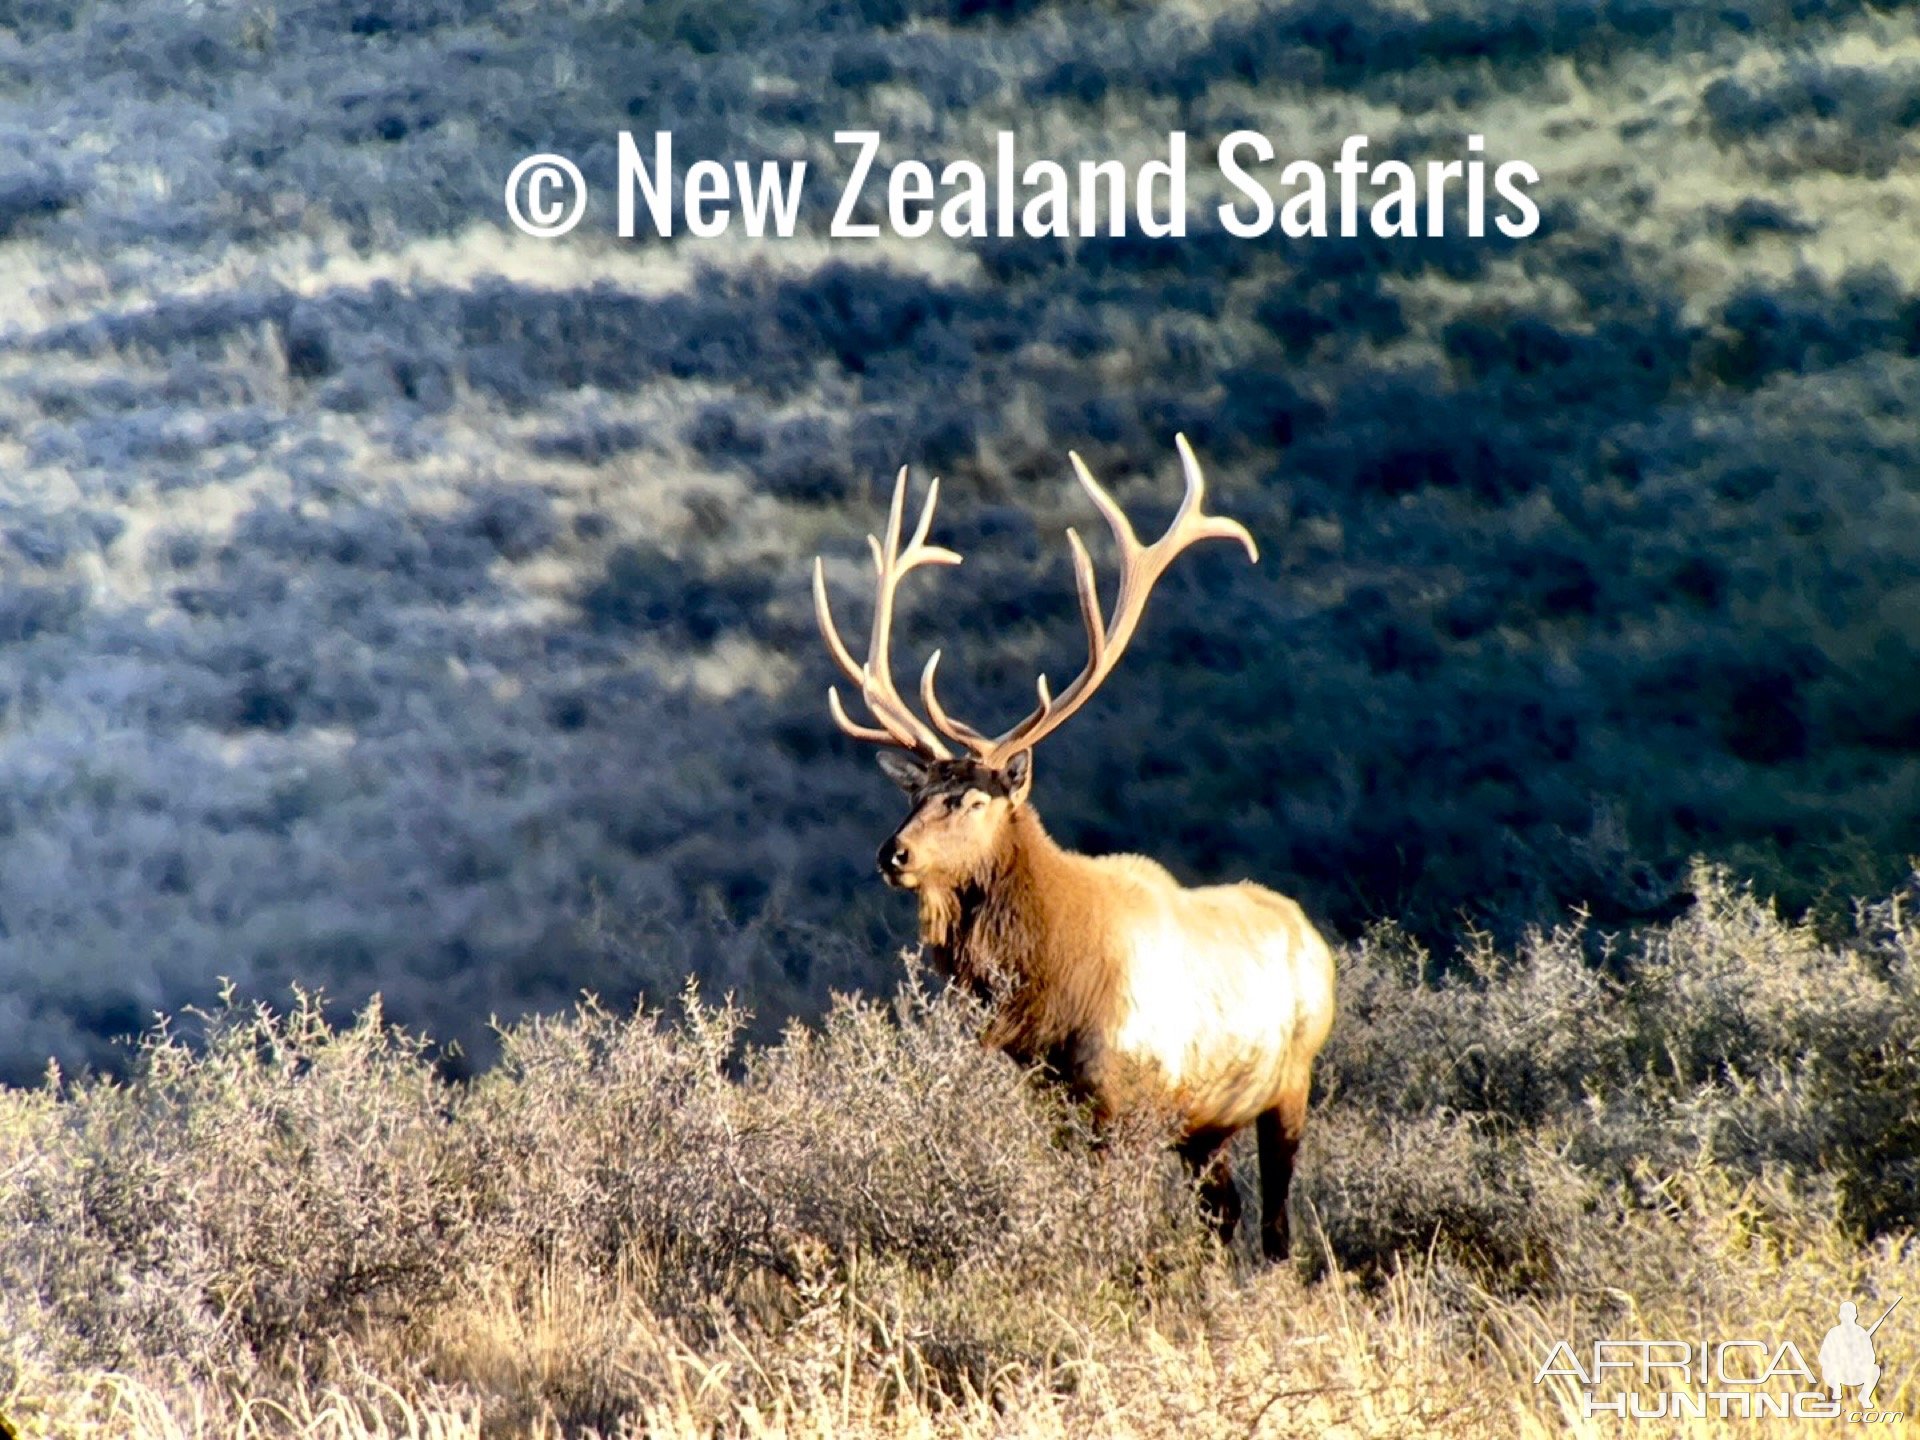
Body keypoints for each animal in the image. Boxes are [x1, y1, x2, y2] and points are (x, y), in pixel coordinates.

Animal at [817, 433, 1344, 1259]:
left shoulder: (1124, 1098)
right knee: (1223, 1212)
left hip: (1290, 1079)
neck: (1052, 992)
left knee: (1275, 1219)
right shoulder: (1053, 1100)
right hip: (1208, 1121)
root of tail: (1316, 941)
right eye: (912, 794)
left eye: (970, 799)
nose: (891, 855)